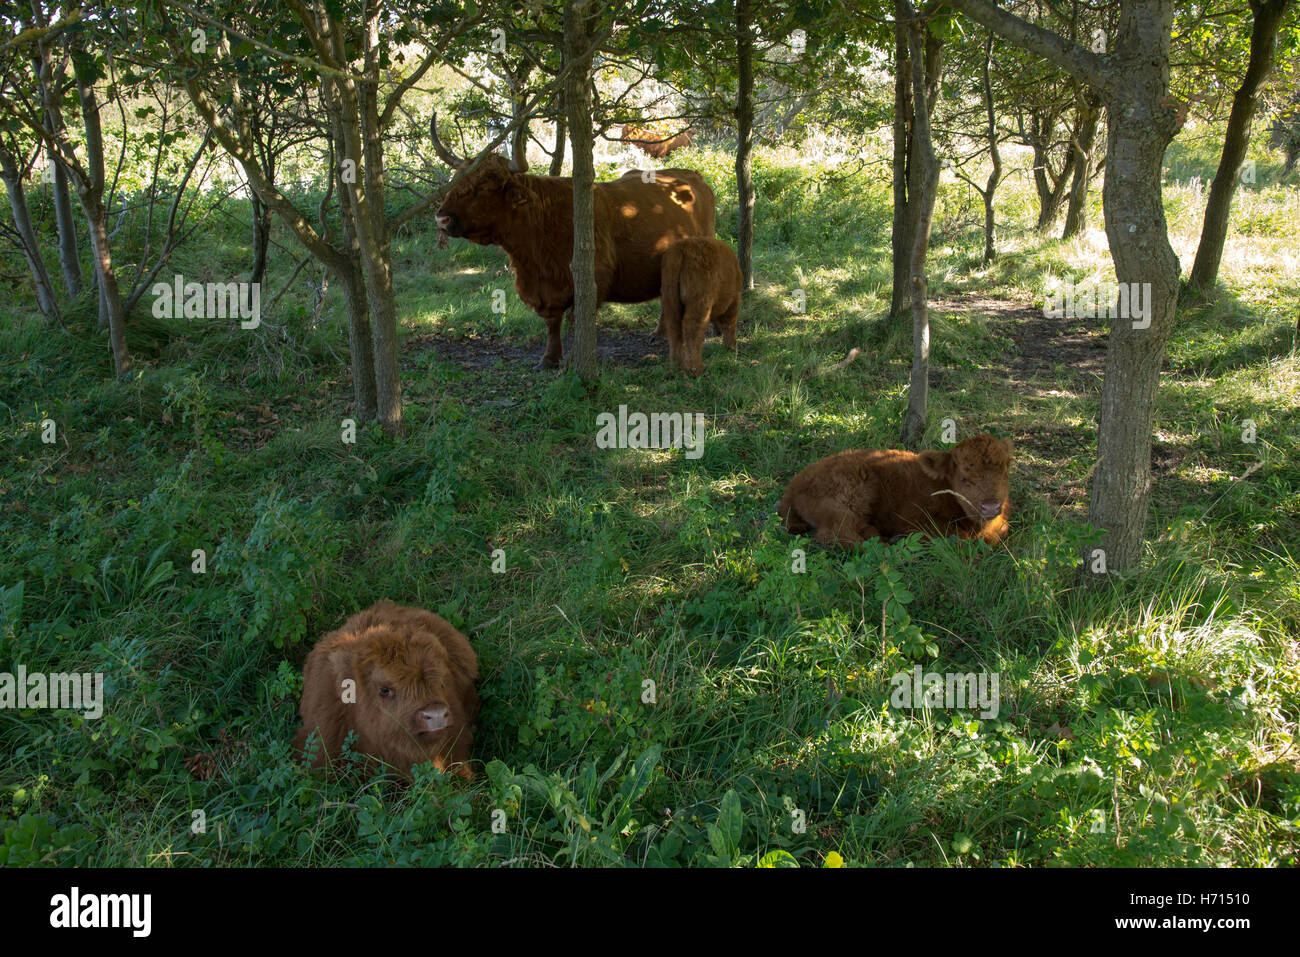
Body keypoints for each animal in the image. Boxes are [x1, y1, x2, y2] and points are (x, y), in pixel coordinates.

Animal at [436, 111, 722, 366]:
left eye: (483, 187)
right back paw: (660, 334)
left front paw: (574, 359)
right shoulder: (545, 288)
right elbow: (552, 324)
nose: (441, 218)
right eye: (455, 181)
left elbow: (577, 322)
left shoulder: (591, 280)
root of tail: (692, 176)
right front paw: (549, 359)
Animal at [774, 434, 1008, 546]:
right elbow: (956, 536)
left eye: (1005, 471)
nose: (991, 507)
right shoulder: (918, 519)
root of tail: (794, 484)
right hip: (851, 496)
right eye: (965, 479)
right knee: (837, 534)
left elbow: (1000, 531)